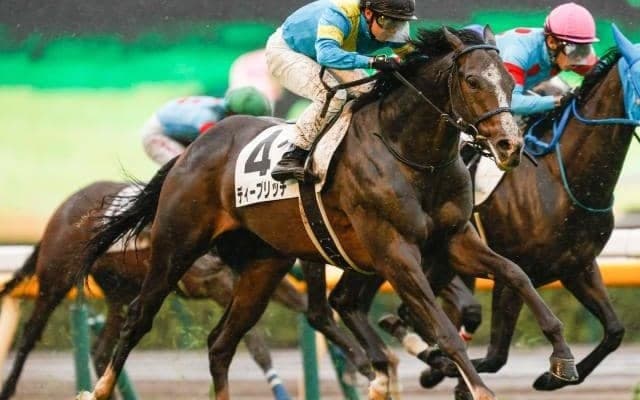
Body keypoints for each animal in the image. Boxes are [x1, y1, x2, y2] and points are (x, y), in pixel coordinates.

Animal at [0, 181, 306, 400]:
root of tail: (62, 208)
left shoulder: (263, 277)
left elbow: (303, 308)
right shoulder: (219, 283)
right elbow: (255, 344)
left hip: (120, 293)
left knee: (102, 348)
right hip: (55, 281)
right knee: (30, 334)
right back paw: (9, 388)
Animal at [75, 26, 574, 400]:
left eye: (509, 81)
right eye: (472, 81)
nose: (509, 145)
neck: (410, 152)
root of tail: (197, 147)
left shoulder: (454, 240)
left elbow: (516, 275)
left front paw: (561, 356)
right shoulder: (396, 253)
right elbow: (444, 328)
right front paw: (478, 387)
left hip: (264, 265)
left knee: (221, 343)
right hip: (177, 243)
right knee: (140, 316)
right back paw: (98, 389)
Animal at [403, 23, 640, 395]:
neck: (562, 178)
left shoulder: (578, 266)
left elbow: (615, 331)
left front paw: (550, 378)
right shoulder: (513, 271)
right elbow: (496, 356)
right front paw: (449, 373)